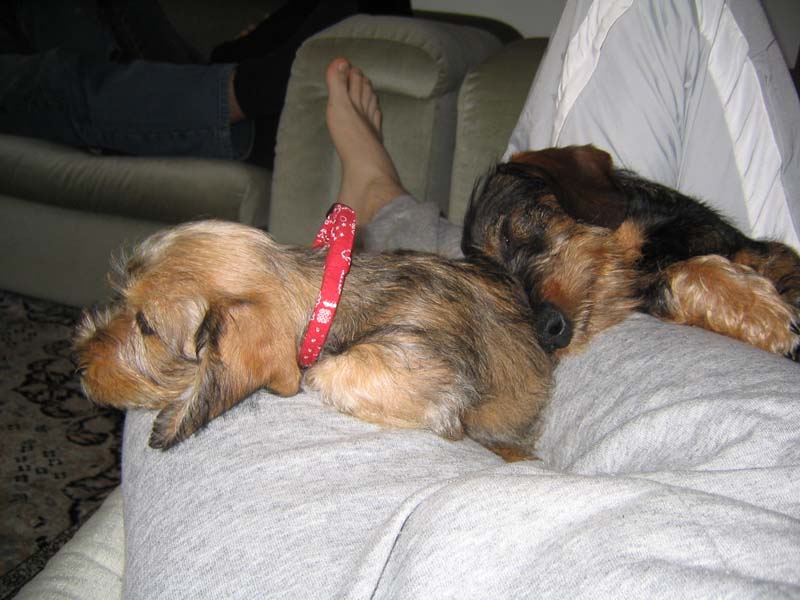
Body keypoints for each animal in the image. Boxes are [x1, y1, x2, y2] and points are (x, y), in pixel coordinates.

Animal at [462, 144, 800, 361]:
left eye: (508, 233)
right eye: (504, 286)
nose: (547, 333)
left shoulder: (761, 251)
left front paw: (760, 307)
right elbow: (681, 274)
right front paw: (765, 316)